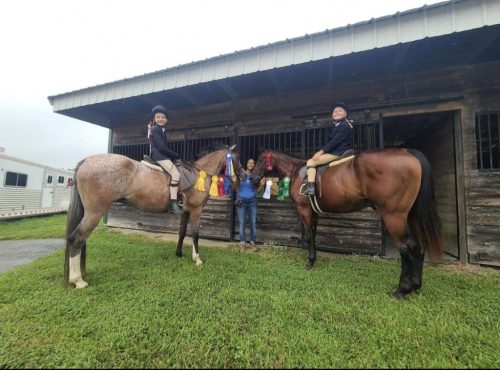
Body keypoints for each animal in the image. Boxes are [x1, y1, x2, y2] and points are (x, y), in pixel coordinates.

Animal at [65, 145, 237, 290]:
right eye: (237, 158)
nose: (238, 180)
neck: (198, 174)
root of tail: (86, 161)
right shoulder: (196, 210)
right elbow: (195, 234)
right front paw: (197, 259)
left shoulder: (186, 211)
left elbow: (182, 232)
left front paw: (179, 254)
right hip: (95, 212)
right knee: (77, 238)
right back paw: (78, 281)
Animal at [256, 147, 444, 298]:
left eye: (259, 160)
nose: (254, 177)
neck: (297, 170)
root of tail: (407, 152)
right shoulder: (314, 212)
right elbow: (314, 236)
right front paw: (314, 260)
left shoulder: (304, 210)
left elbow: (309, 236)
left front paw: (309, 262)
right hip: (411, 216)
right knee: (419, 245)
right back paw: (416, 285)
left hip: (394, 217)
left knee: (406, 248)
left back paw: (402, 290)